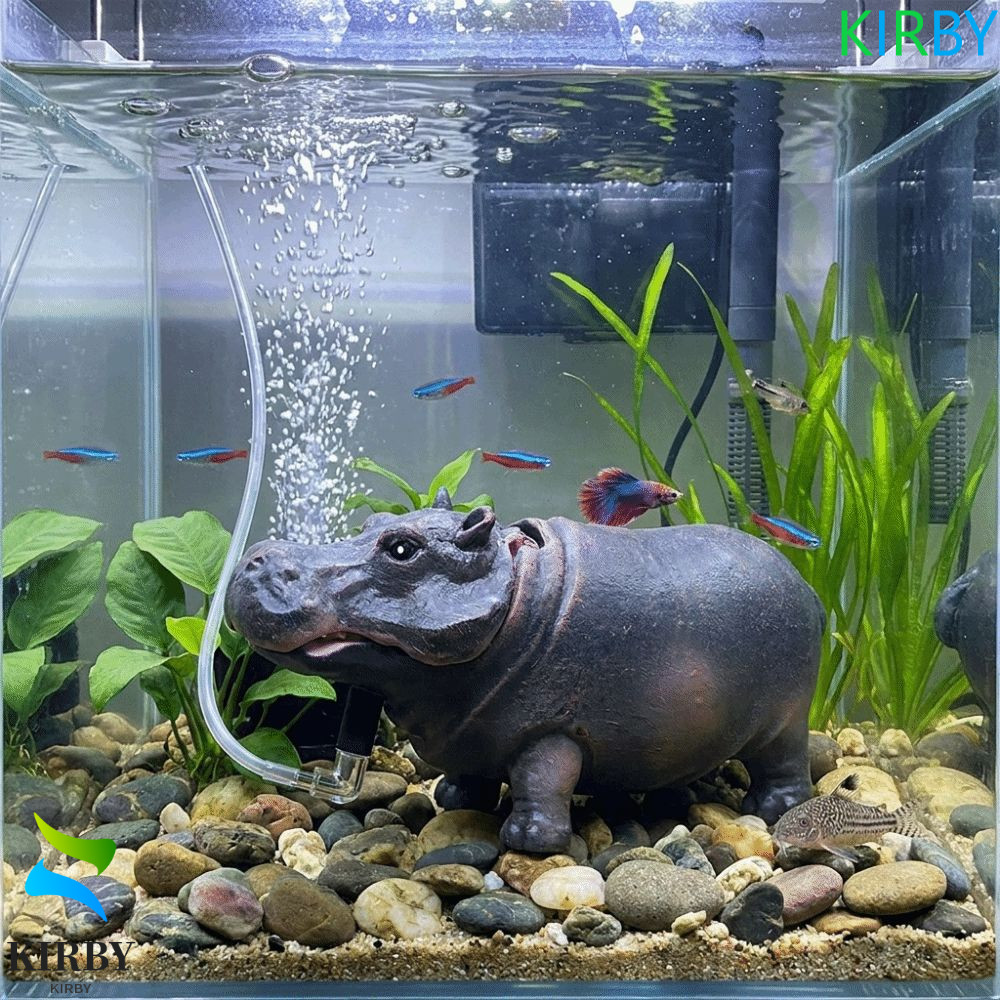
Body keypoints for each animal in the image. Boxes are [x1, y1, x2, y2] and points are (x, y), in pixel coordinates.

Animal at [225, 491, 824, 853]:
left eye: (401, 549)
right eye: (372, 522)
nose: (258, 556)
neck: (515, 592)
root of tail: (808, 587)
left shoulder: (552, 728)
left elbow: (543, 778)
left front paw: (529, 838)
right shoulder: (471, 728)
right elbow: (472, 770)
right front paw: (455, 799)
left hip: (785, 716)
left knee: (786, 761)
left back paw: (770, 808)